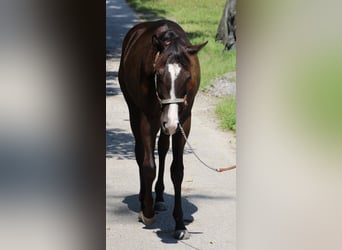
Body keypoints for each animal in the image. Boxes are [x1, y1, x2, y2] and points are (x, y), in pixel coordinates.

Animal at [119, 20, 207, 240]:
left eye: (188, 77)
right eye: (158, 75)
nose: (171, 122)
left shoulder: (184, 121)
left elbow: (177, 170)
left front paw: (180, 224)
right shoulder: (147, 118)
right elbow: (148, 165)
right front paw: (147, 212)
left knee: (163, 147)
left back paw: (158, 197)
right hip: (136, 111)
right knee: (140, 152)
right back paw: (144, 198)